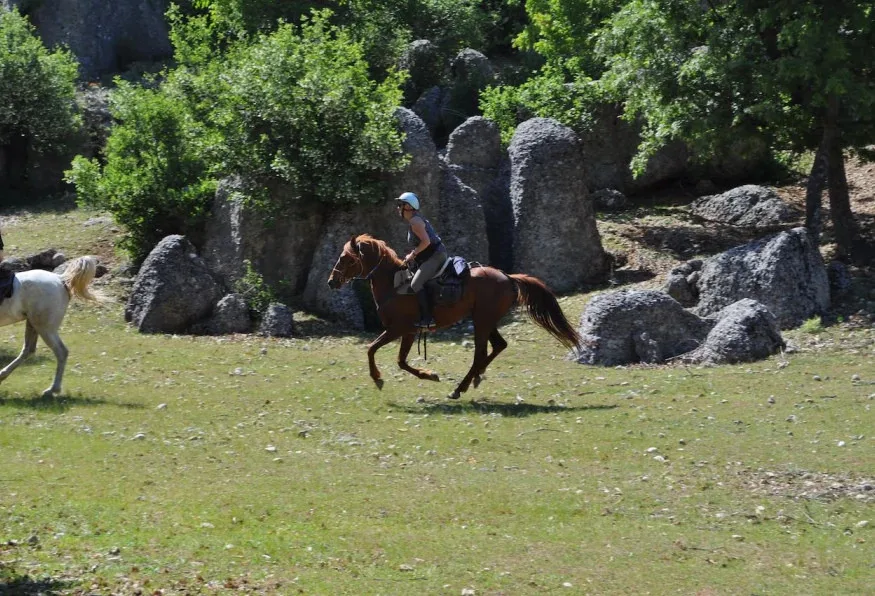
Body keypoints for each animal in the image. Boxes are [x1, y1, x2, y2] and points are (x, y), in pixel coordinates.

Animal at [0, 256, 101, 397]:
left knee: (61, 352)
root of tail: (60, 279)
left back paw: (52, 389)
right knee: (28, 350)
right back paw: (2, 375)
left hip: (45, 328)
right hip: (34, 324)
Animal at [327, 234, 580, 399]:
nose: (331, 282)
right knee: (499, 345)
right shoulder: (408, 332)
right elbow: (400, 361)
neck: (394, 285)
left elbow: (372, 349)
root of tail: (508, 277)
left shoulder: (398, 329)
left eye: (346, 258)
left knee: (480, 354)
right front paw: (429, 375)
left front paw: (378, 377)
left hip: (482, 321)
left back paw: (460, 388)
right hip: (485, 320)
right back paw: (476, 378)